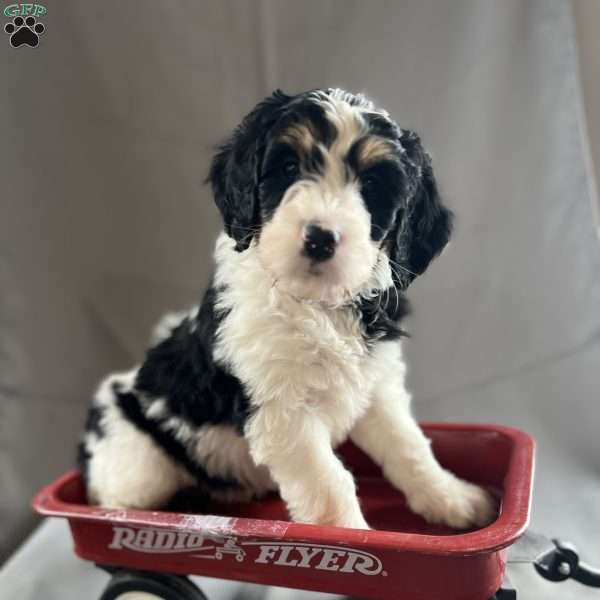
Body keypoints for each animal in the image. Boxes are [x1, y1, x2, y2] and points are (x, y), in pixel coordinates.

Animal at [78, 88, 496, 528]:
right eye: (289, 166)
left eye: (371, 184)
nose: (320, 239)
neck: (317, 304)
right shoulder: (282, 412)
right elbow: (330, 482)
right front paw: (350, 535)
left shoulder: (376, 385)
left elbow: (410, 445)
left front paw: (453, 499)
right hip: (138, 461)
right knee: (119, 495)